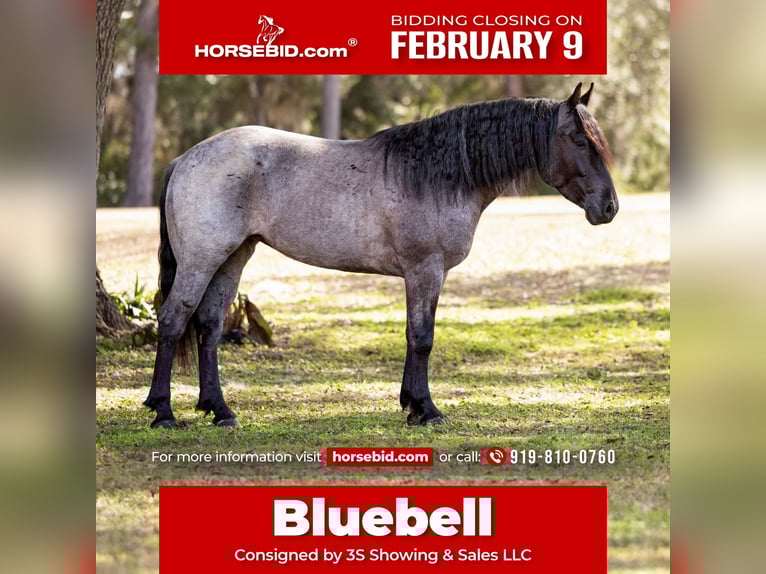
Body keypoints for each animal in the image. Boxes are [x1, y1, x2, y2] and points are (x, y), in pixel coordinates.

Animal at [144, 83, 618, 428]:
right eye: (579, 140)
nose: (609, 206)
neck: (439, 175)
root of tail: (186, 158)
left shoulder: (425, 275)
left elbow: (414, 335)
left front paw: (411, 404)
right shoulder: (425, 270)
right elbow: (422, 337)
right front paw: (427, 410)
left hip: (233, 257)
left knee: (208, 326)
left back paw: (220, 411)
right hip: (202, 260)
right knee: (173, 320)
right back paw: (163, 412)